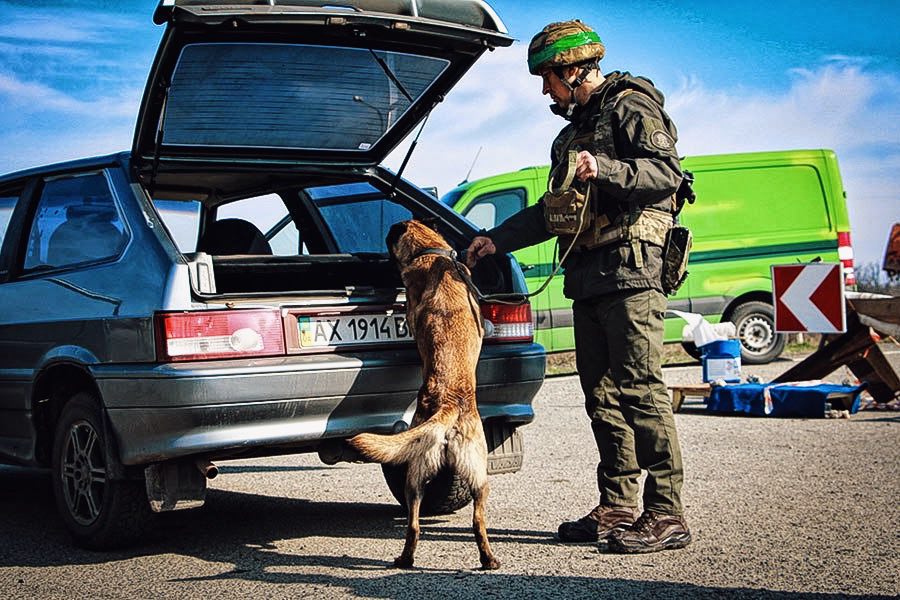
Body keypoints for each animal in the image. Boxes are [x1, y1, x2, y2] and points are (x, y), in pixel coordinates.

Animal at [348, 218, 500, 568]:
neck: (434, 253)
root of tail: (451, 406)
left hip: (414, 474)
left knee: (414, 521)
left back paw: (405, 559)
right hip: (478, 478)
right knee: (472, 521)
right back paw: (487, 559)